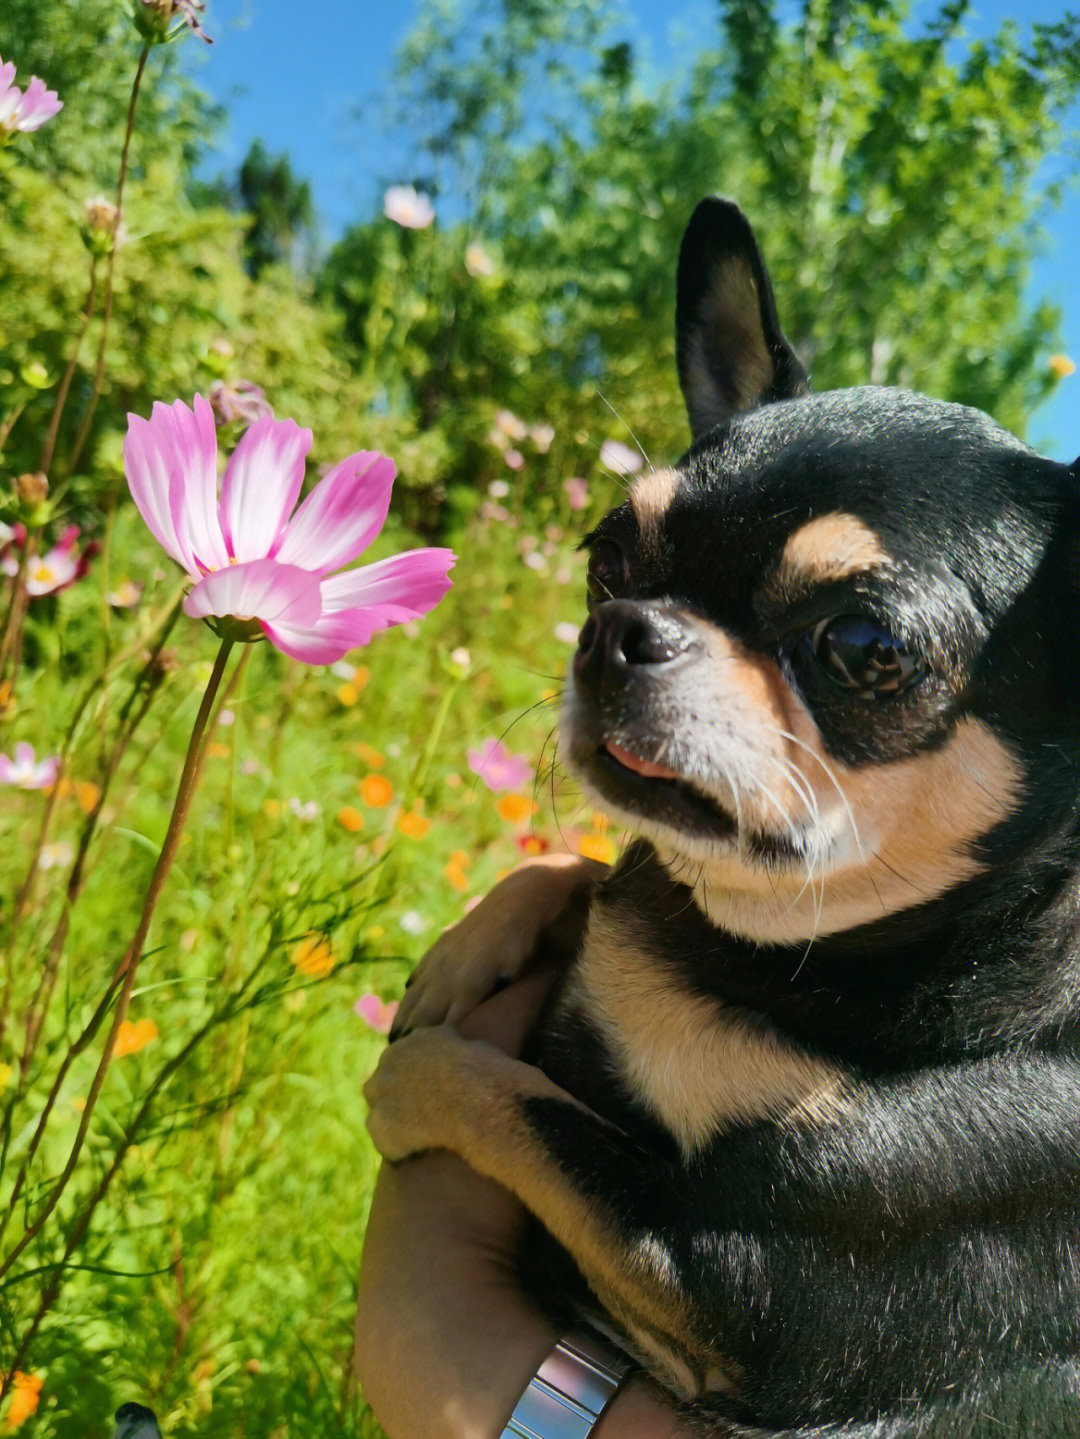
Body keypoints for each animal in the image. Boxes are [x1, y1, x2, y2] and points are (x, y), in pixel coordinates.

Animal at [371, 202, 1080, 1439]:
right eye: (606, 553)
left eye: (864, 646)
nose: (618, 630)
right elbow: (594, 863)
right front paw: (467, 950)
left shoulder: (729, 1280)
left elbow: (514, 1100)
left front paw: (406, 1082)